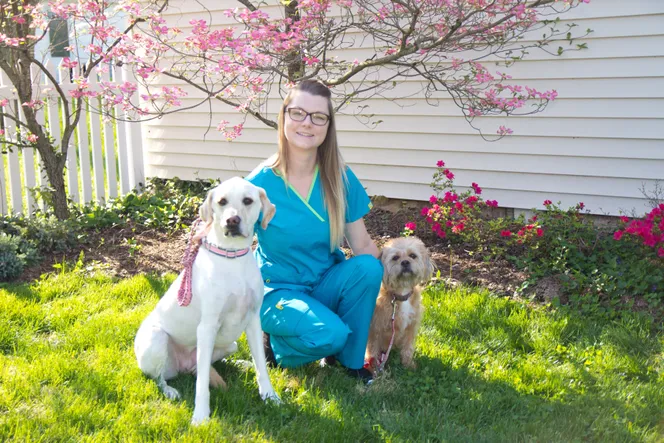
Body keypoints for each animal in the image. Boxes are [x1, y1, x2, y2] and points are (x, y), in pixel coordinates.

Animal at [135, 177, 280, 426]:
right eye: (222, 201)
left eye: (247, 200)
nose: (232, 220)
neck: (232, 257)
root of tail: (183, 366)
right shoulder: (207, 327)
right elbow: (201, 385)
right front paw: (201, 416)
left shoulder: (253, 320)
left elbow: (261, 365)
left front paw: (270, 396)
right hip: (157, 340)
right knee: (161, 377)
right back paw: (171, 390)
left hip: (231, 344)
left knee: (204, 365)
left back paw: (241, 364)